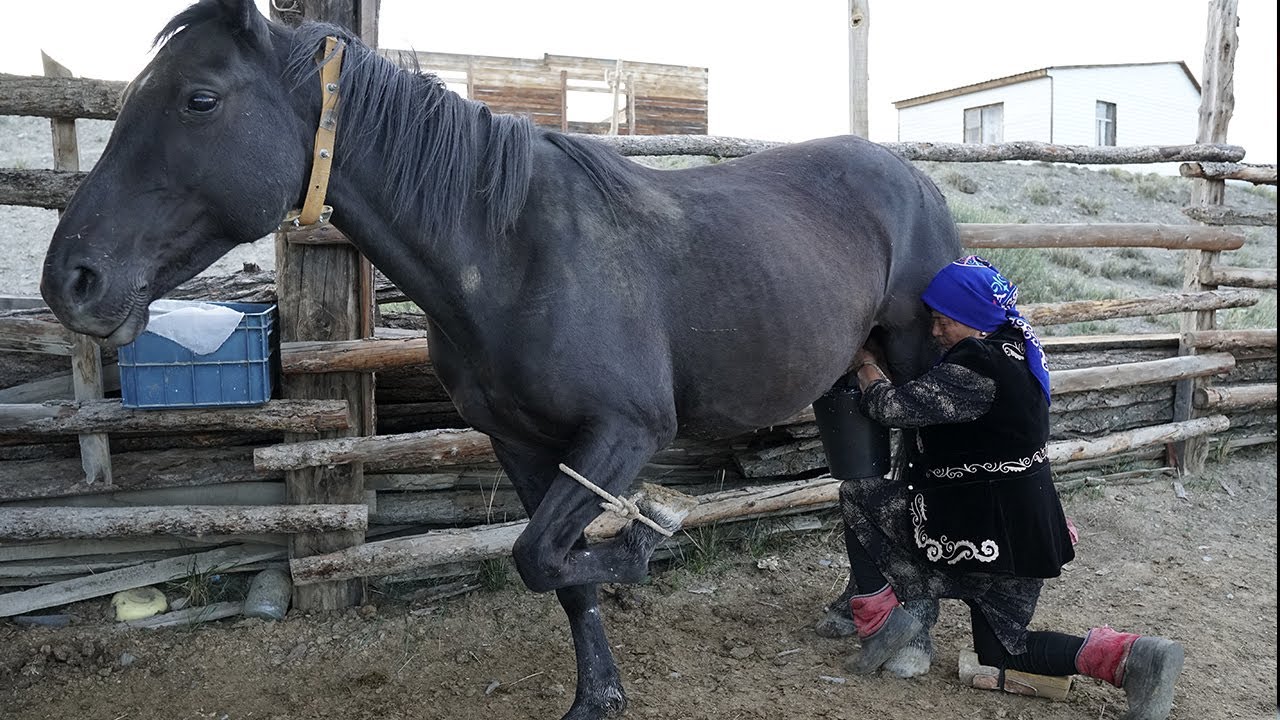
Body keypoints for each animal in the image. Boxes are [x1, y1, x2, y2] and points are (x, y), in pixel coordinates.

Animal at [40, 1, 961, 717]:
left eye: (199, 100)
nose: (71, 281)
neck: (514, 251)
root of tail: (909, 178)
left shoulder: (625, 433)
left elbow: (542, 554)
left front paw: (645, 539)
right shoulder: (518, 441)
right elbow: (551, 567)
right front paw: (598, 695)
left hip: (917, 363)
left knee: (917, 475)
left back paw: (908, 633)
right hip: (843, 379)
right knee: (857, 481)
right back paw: (858, 607)